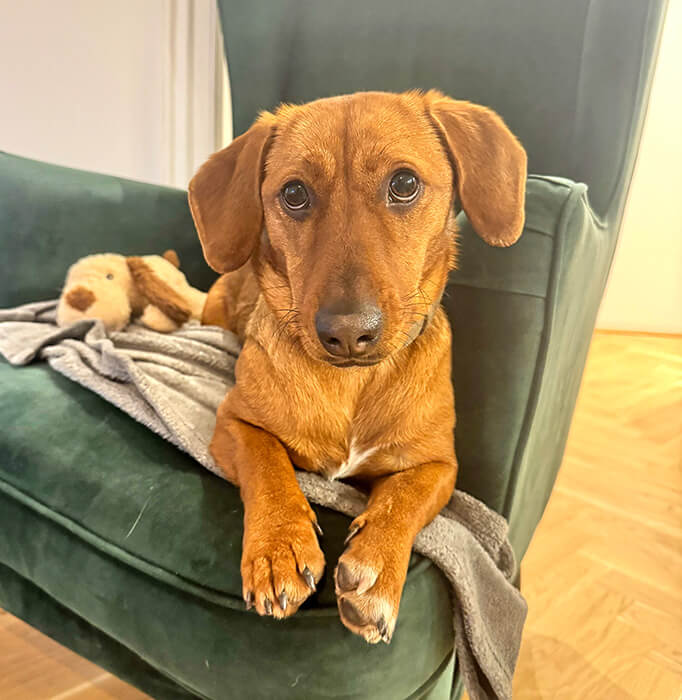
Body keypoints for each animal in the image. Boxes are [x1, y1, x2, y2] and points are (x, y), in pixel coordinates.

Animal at [189, 90, 526, 644]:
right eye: (294, 193)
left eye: (405, 184)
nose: (347, 332)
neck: (353, 381)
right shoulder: (235, 422)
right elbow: (268, 463)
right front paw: (278, 547)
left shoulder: (439, 465)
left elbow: (404, 498)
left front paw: (376, 568)